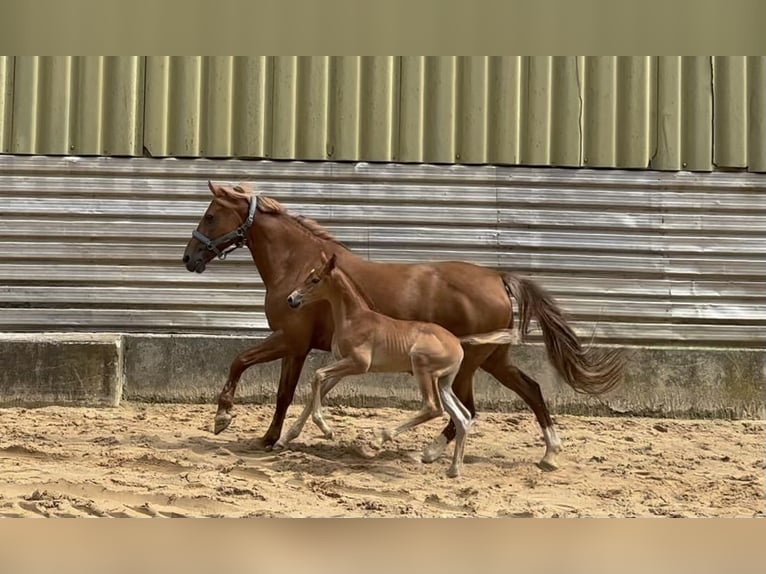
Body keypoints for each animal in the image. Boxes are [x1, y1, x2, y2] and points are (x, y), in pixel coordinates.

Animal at [282, 253, 520, 482]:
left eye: (315, 279)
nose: (291, 299)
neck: (354, 319)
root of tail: (457, 341)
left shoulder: (358, 364)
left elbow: (317, 374)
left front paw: (326, 429)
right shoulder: (343, 366)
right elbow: (318, 384)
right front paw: (289, 436)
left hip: (422, 368)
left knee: (433, 407)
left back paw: (380, 439)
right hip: (443, 382)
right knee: (462, 416)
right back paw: (454, 469)